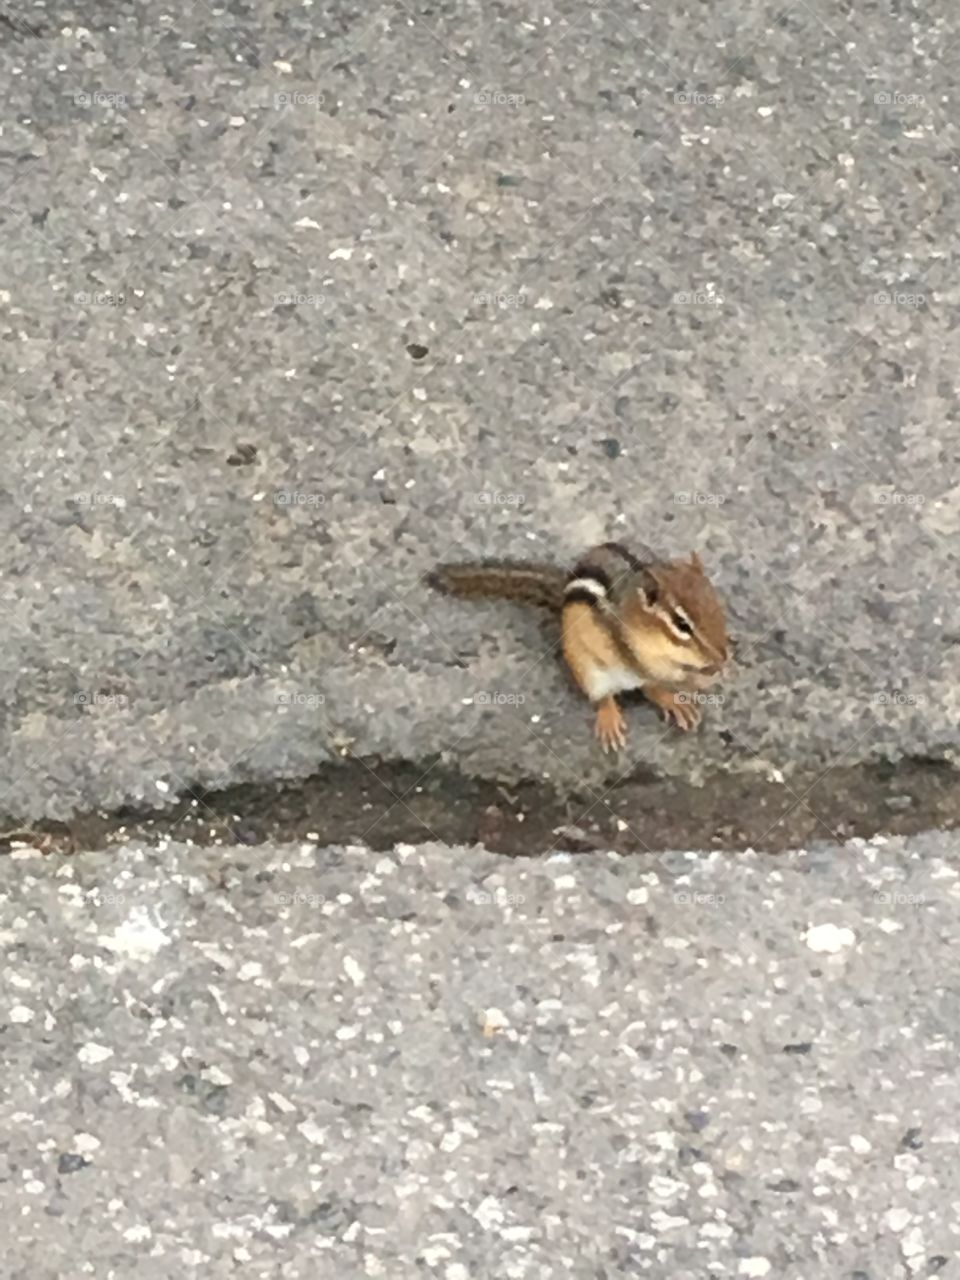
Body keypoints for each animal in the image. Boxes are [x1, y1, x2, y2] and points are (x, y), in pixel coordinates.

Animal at [428, 541, 730, 752]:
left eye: (717, 607)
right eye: (682, 624)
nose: (723, 657)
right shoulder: (628, 647)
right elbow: (653, 669)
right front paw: (702, 677)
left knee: (649, 688)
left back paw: (673, 702)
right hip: (587, 668)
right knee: (604, 695)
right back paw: (610, 718)